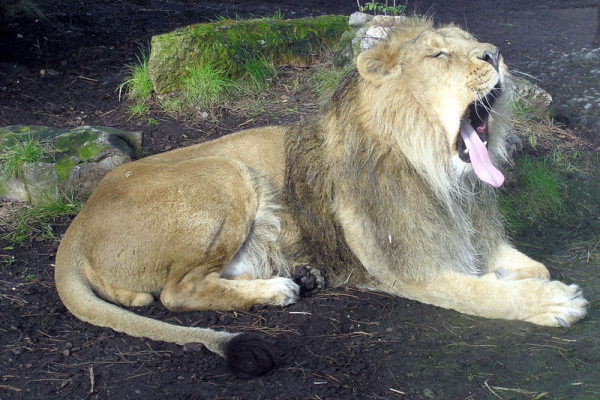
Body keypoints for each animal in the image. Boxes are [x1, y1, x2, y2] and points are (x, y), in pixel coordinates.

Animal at [54, 17, 588, 376]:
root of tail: (77, 226)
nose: (495, 53)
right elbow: (483, 294)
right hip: (227, 172)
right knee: (175, 292)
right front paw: (553, 302)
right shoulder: (410, 270)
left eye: (475, 44)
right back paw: (277, 290)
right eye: (439, 55)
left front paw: (529, 280)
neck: (443, 180)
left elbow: (530, 266)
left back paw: (299, 275)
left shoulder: (472, 236)